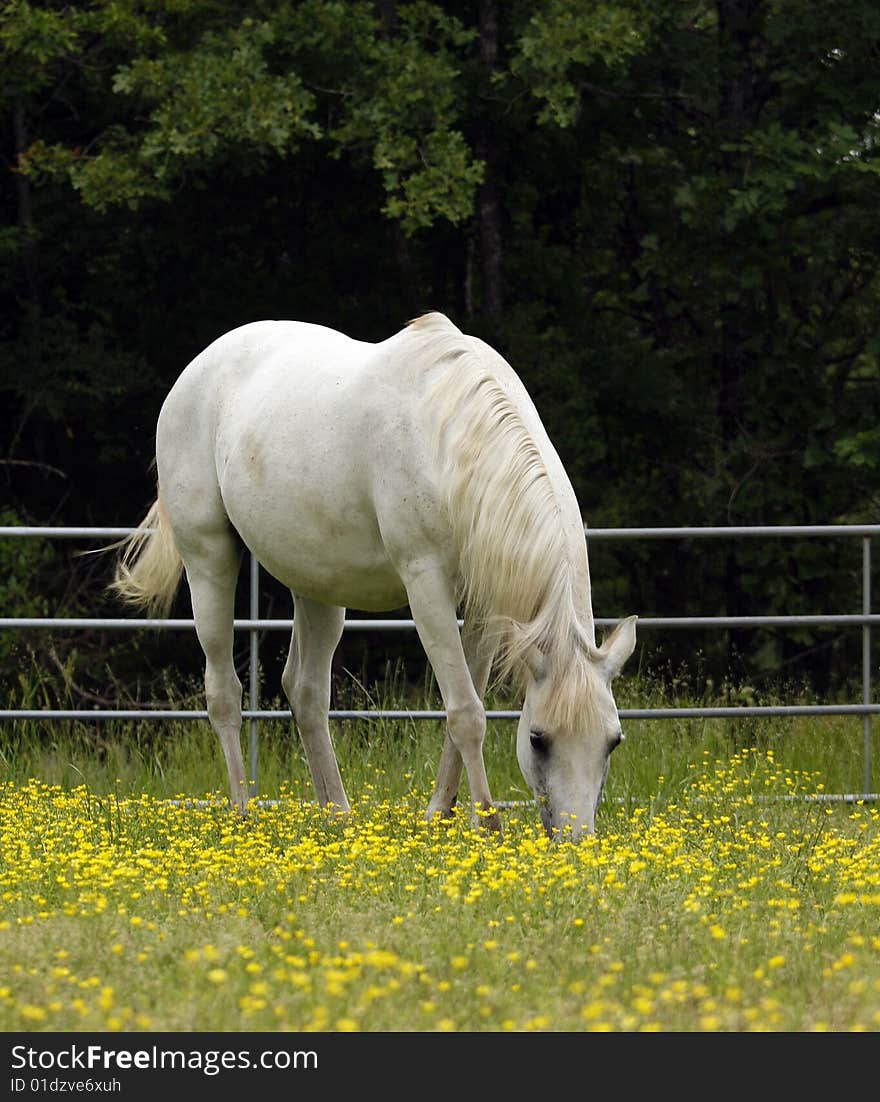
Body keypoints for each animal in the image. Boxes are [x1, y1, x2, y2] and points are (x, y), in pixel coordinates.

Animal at [113, 315, 638, 837]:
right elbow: (466, 712)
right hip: (209, 561)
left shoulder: (485, 607)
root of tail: (197, 369)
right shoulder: (426, 586)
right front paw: (486, 825)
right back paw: (243, 813)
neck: (452, 439)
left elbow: (465, 702)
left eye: (613, 741)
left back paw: (337, 815)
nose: (577, 841)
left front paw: (441, 814)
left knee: (305, 691)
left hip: (318, 586)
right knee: (224, 692)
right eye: (537, 738)